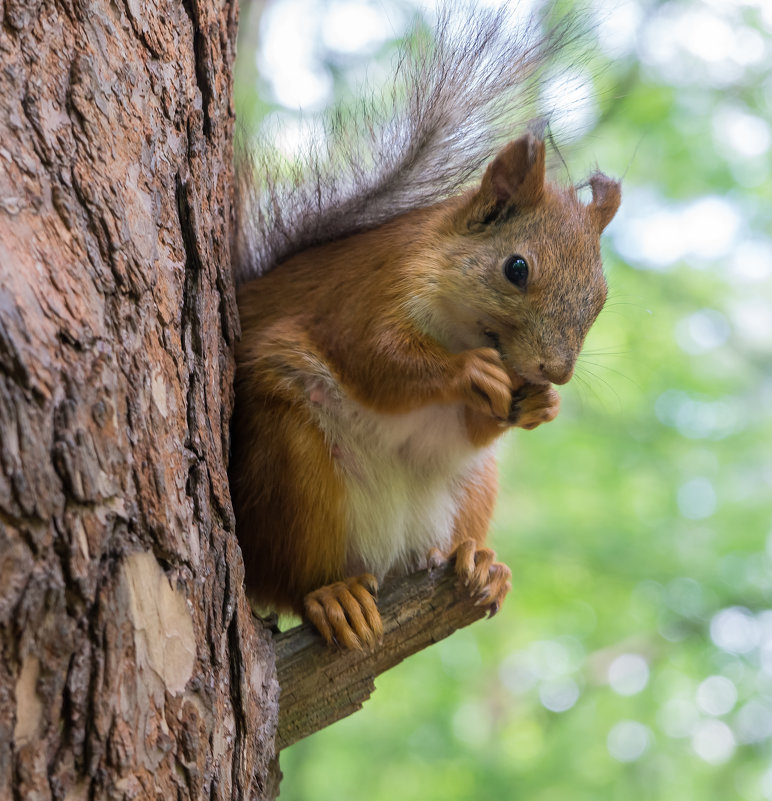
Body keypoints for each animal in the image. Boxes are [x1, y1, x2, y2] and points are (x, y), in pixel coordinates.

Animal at [229, 4, 620, 648]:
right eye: (516, 268)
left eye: (601, 298)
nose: (556, 372)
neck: (462, 327)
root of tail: (378, 557)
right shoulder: (369, 295)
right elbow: (377, 359)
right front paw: (471, 373)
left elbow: (472, 424)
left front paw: (540, 406)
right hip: (292, 471)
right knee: (289, 582)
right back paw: (332, 595)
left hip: (469, 489)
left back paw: (475, 563)